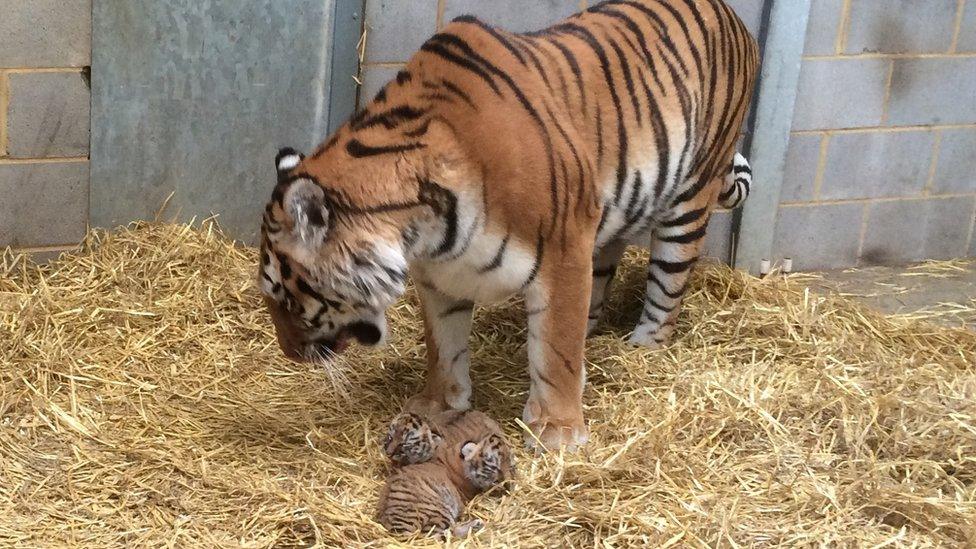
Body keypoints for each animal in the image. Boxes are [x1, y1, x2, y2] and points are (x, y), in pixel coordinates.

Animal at [262, 0, 764, 450]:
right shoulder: (440, 278)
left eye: (285, 295)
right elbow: (444, 348)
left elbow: (555, 348)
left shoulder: (563, 250)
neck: (421, 232)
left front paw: (558, 429)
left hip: (690, 197)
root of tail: (734, 17)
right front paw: (438, 405)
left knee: (667, 287)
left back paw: (643, 347)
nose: (289, 353)